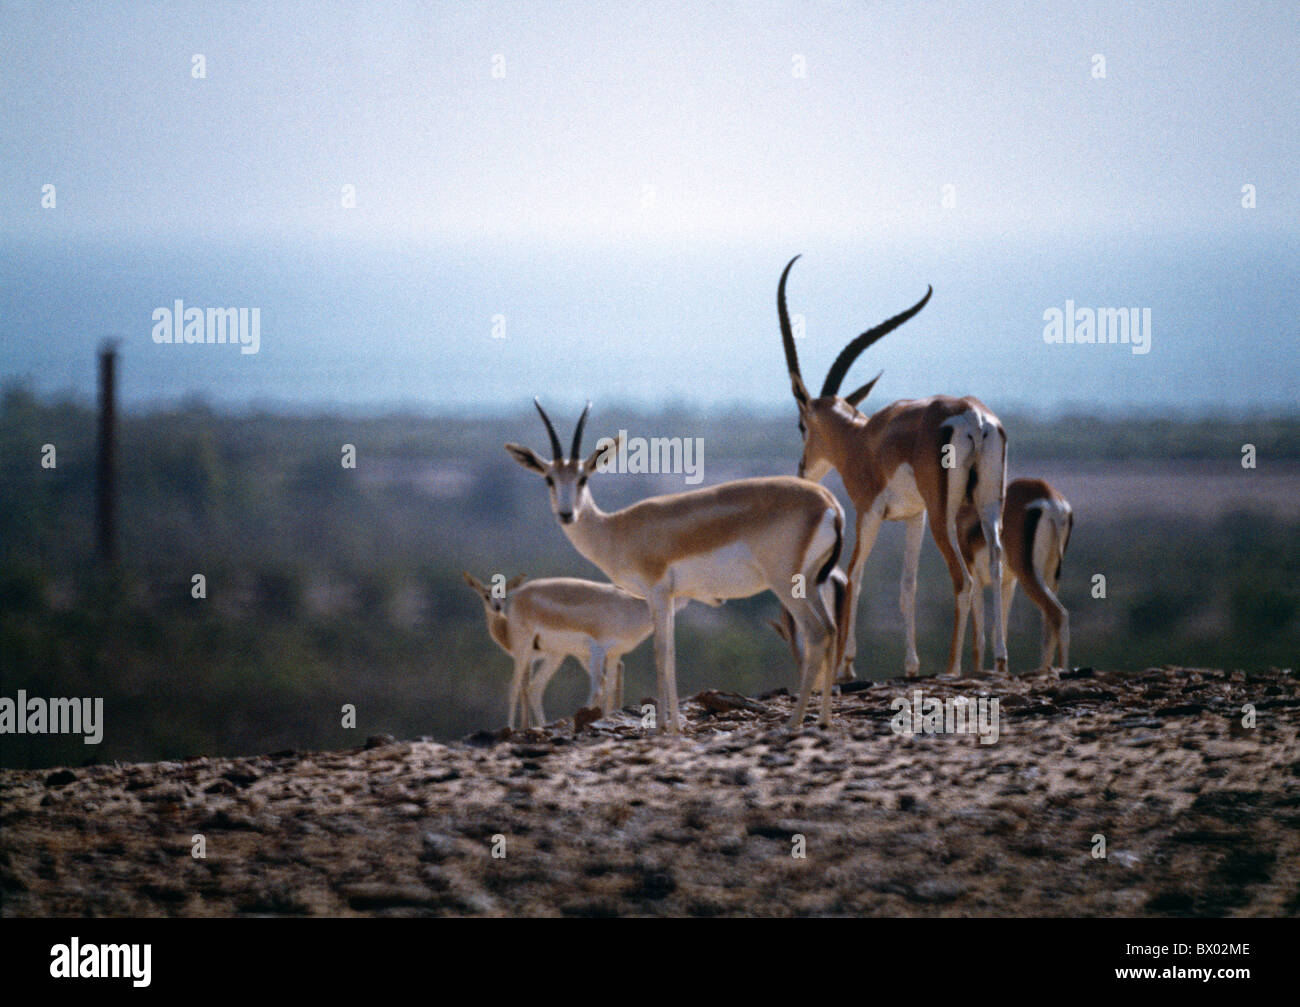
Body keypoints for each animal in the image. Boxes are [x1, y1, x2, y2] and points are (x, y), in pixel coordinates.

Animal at [462, 571, 674, 728]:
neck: (505, 630)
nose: (497, 607)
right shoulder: (549, 655)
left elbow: (518, 688)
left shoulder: (526, 655)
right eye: (485, 595)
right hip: (569, 656)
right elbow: (528, 688)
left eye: (503, 594)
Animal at [506, 400, 845, 732]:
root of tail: (827, 501)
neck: (616, 530)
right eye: (549, 478)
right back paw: (825, 719)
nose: (567, 514)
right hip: (812, 582)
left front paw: (661, 728)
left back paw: (793, 723)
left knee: (816, 633)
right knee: (831, 629)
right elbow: (670, 655)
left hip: (786, 583)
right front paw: (674, 726)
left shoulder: (655, 591)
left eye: (583, 478)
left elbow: (660, 653)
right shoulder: (669, 597)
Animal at [777, 255, 1008, 679]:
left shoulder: (868, 512)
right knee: (997, 566)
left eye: (802, 425)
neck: (863, 438)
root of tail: (973, 416)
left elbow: (855, 575)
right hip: (986, 505)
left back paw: (951, 666)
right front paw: (911, 665)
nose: (802, 469)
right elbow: (907, 585)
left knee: (964, 580)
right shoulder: (914, 516)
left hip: (944, 515)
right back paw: (1000, 660)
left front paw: (846, 666)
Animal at [958, 478, 1073, 673]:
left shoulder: (975, 577)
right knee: (1049, 626)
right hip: (1050, 574)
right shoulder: (1009, 582)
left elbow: (979, 638)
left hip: (1028, 573)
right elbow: (999, 632)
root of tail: (1051, 499)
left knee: (1060, 615)